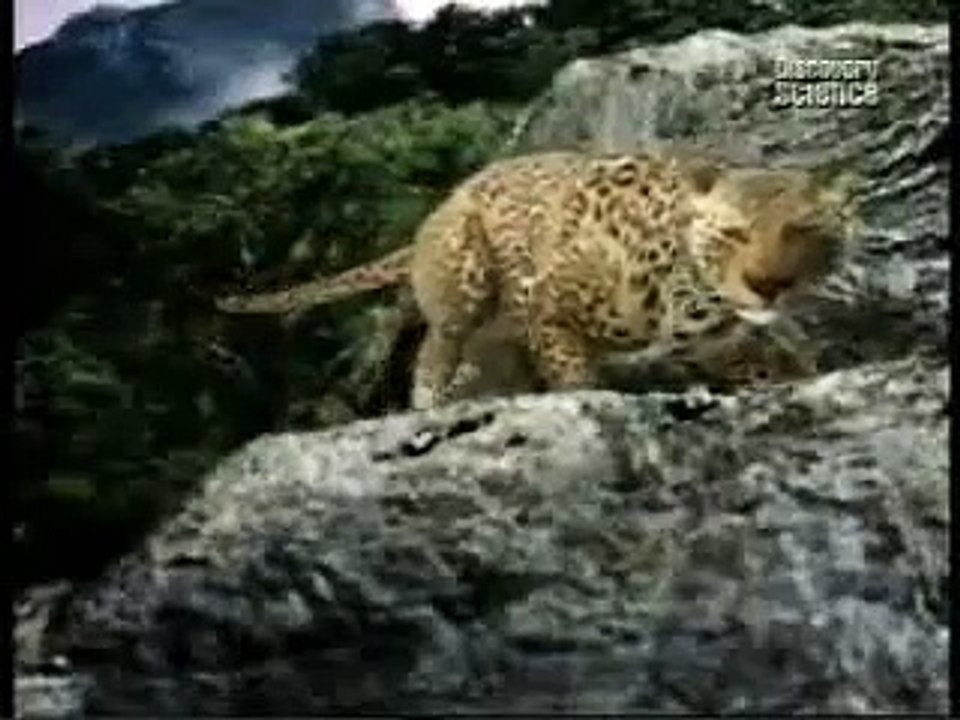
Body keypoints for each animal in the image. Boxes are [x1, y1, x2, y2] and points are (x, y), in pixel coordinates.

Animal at [216, 149, 858, 410]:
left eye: (804, 230)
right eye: (730, 234)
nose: (768, 286)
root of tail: (434, 213)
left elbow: (767, 356)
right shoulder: (550, 311)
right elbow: (574, 377)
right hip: (466, 283)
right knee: (434, 348)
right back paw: (425, 406)